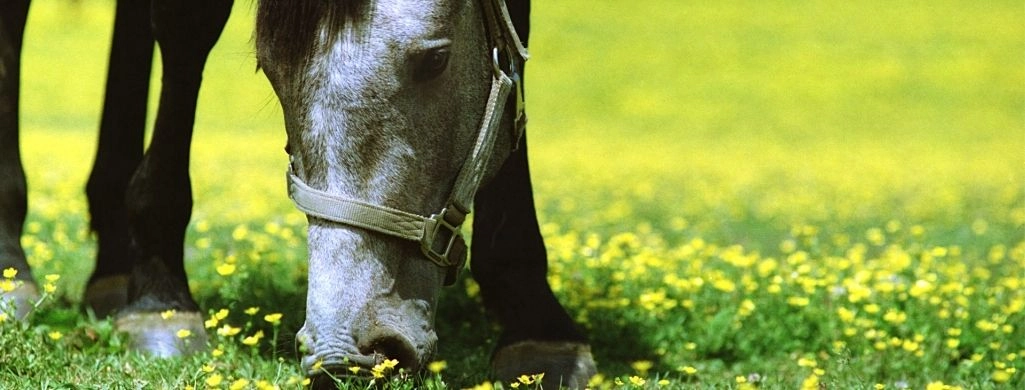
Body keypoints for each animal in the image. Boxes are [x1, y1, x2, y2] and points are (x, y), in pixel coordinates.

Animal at [0, 0, 594, 387]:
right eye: (269, 68)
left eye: (434, 58)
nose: (343, 351)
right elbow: (187, 23)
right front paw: (162, 303)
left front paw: (535, 320)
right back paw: (16, 268)